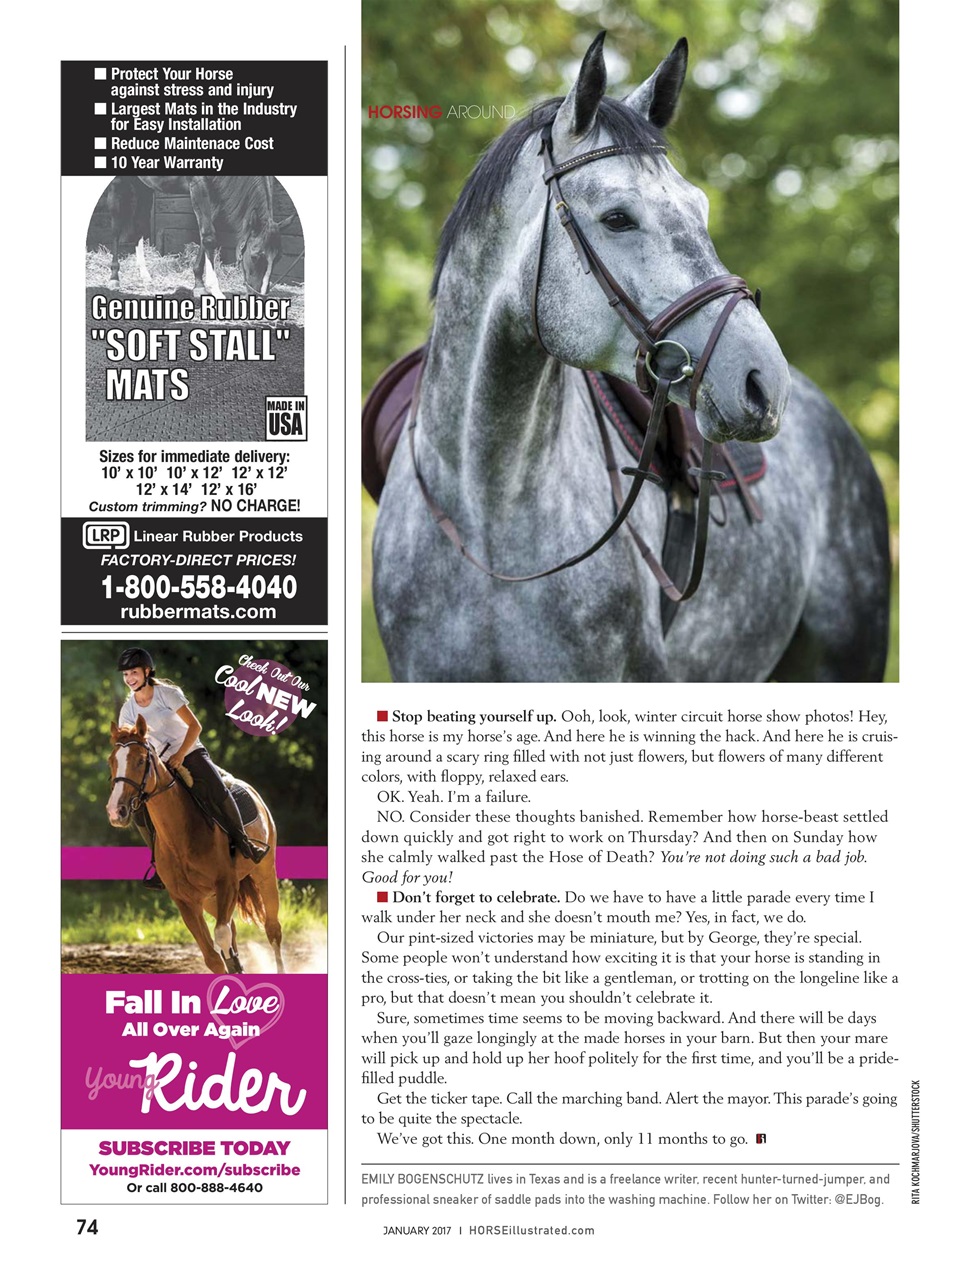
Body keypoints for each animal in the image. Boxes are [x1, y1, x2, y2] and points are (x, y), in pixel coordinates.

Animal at [106, 174, 297, 297]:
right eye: (256, 256)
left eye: (279, 258)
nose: (260, 296)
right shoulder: (198, 185)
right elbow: (209, 237)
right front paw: (214, 289)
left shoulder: (214, 196)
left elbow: (205, 237)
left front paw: (198, 284)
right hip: (119, 184)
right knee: (115, 227)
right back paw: (114, 277)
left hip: (144, 186)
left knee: (140, 225)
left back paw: (145, 275)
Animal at [106, 717, 284, 974]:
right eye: (111, 761)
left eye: (140, 761)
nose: (115, 811)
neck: (180, 837)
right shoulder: (185, 901)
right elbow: (212, 956)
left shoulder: (227, 884)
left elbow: (221, 935)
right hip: (210, 899)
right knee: (233, 930)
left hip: (264, 874)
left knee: (272, 929)